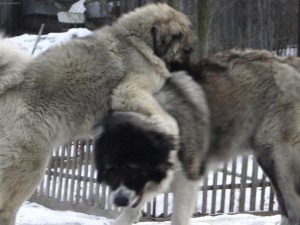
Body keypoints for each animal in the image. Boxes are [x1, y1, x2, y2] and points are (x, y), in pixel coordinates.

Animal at [0, 3, 196, 225]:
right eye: (187, 50)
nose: (193, 71)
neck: (139, 42)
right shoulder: (129, 92)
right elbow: (168, 119)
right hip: (29, 166)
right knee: (7, 206)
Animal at [95, 49, 300, 225]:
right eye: (111, 170)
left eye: (134, 169)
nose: (119, 200)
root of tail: (288, 62)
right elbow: (129, 213)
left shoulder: (187, 182)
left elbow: (178, 218)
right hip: (267, 159)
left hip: (279, 159)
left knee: (293, 205)